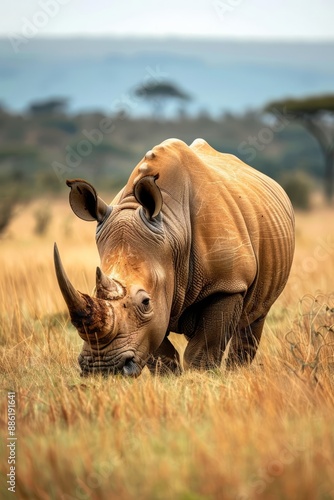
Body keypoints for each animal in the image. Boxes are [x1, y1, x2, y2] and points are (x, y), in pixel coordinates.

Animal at [54, 137, 294, 376]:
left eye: (145, 302)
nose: (102, 368)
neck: (172, 236)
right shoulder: (159, 297)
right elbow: (160, 353)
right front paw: (169, 379)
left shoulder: (227, 283)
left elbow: (202, 351)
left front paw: (200, 377)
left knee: (253, 319)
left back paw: (238, 371)